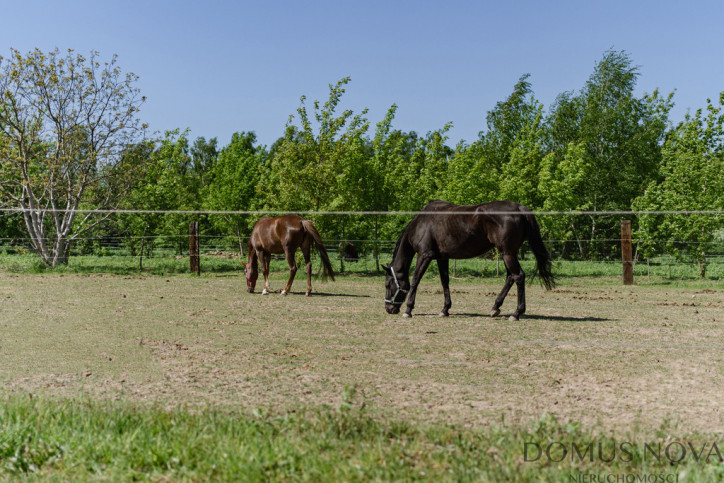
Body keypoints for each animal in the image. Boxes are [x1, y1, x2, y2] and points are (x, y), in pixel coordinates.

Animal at [384, 200, 556, 322]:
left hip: (507, 253)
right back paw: (495, 307)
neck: (422, 223)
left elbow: (415, 280)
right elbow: (445, 282)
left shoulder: (425, 255)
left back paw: (516, 313)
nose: (388, 309)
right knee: (510, 277)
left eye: (388, 284)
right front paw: (445, 310)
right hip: (508, 254)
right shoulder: (442, 258)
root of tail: (520, 208)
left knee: (518, 276)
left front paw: (408, 310)